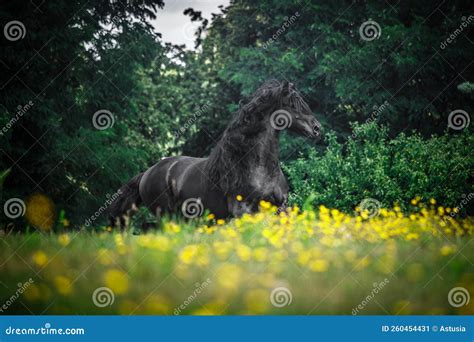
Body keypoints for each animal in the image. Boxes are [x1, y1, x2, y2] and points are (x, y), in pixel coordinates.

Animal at [107, 80, 322, 227]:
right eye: (293, 105)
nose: (317, 129)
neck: (259, 167)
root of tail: (148, 172)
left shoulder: (281, 207)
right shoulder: (243, 211)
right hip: (168, 216)